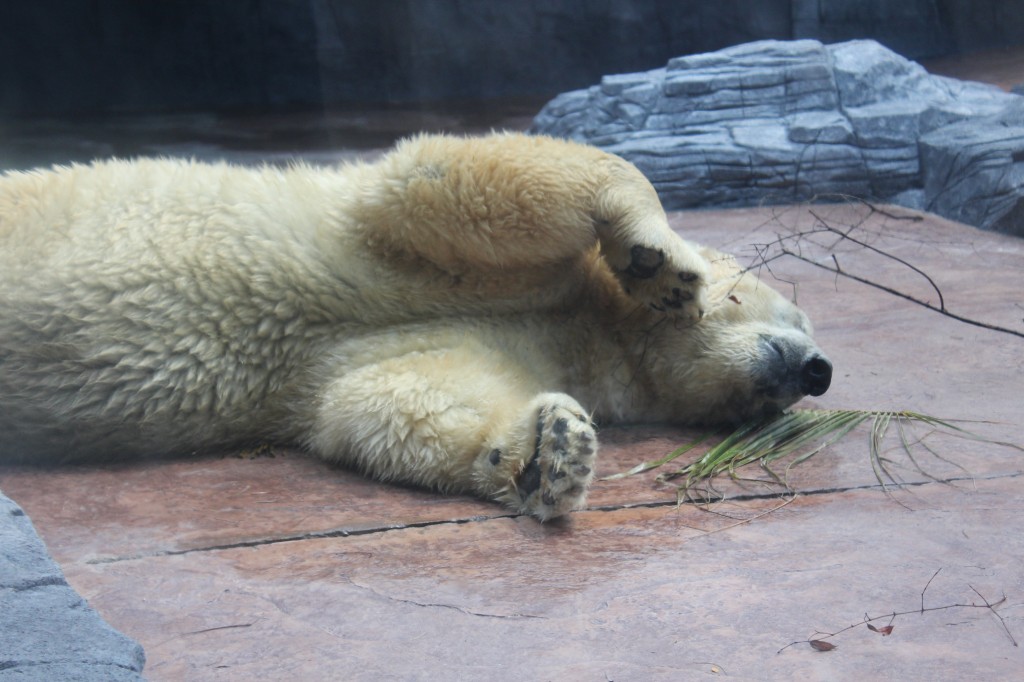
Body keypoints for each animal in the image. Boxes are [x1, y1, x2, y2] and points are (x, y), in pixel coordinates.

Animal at [0, 131, 831, 516]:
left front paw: (551, 452)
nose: (815, 372)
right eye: (791, 310)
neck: (589, 325)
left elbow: (386, 398)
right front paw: (661, 260)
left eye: (758, 412)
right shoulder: (400, 240)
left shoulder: (453, 340)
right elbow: (455, 180)